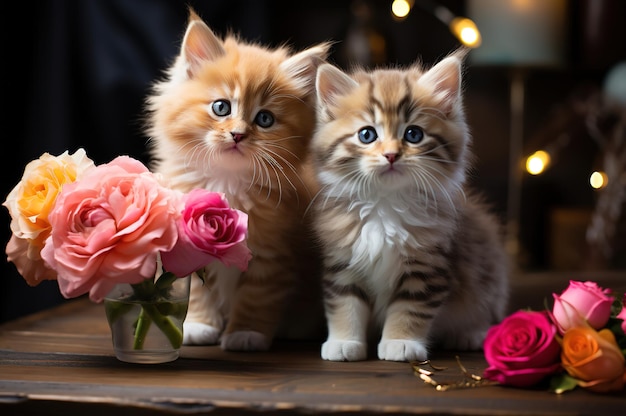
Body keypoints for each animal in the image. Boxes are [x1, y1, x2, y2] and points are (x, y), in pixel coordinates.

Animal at [308, 50, 508, 362]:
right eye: (367, 135)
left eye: (414, 134)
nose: (391, 155)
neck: (385, 205)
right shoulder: (342, 261)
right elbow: (345, 304)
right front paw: (343, 341)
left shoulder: (427, 267)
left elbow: (409, 308)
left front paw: (400, 343)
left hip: (489, 278)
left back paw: (471, 334)